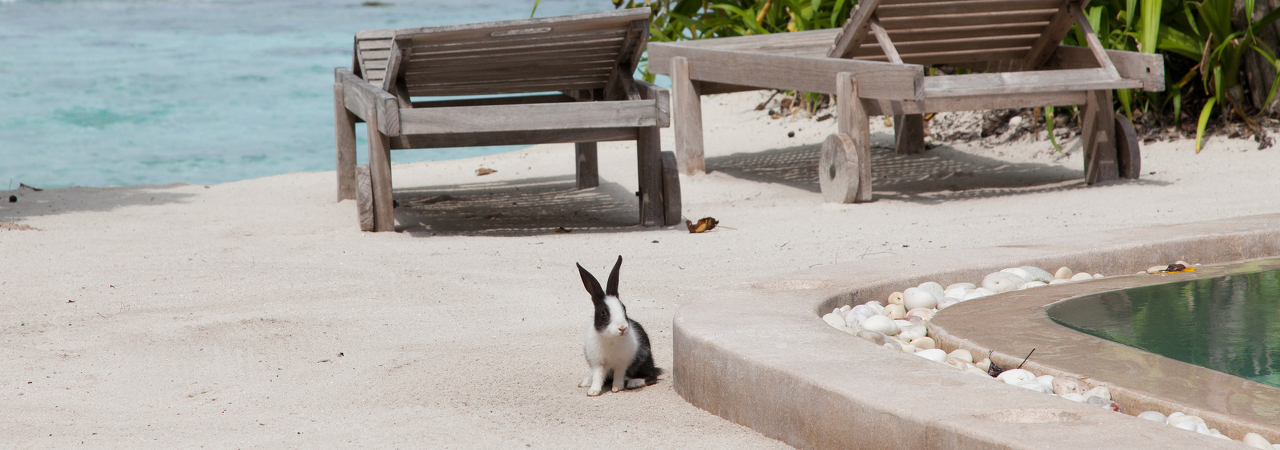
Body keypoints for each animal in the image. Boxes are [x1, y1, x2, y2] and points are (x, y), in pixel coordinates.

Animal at [575, 255, 662, 396]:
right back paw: (587, 381)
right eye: (603, 313)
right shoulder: (598, 363)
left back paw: (634, 382)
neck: (611, 338)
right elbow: (598, 376)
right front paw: (593, 391)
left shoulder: (622, 362)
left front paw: (617, 387)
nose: (622, 328)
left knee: (651, 376)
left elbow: (619, 375)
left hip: (644, 359)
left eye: (624, 308)